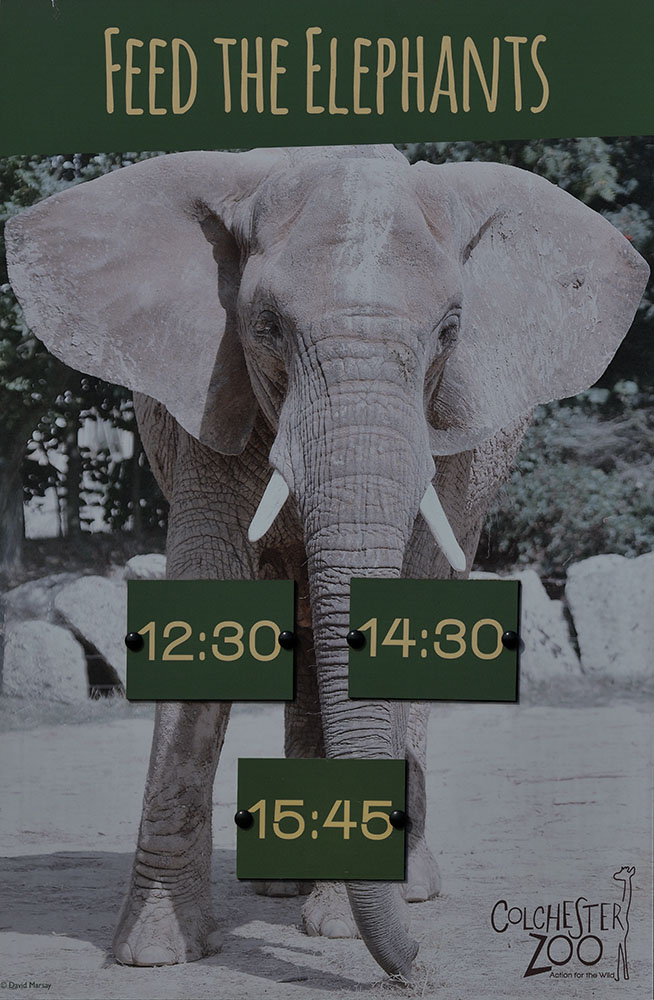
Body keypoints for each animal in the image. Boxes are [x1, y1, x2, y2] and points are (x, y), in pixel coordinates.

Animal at [5, 144, 648, 981]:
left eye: (451, 329)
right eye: (267, 326)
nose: (415, 972)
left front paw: (343, 926)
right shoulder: (212, 395)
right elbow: (210, 598)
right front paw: (156, 953)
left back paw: (400, 888)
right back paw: (286, 886)